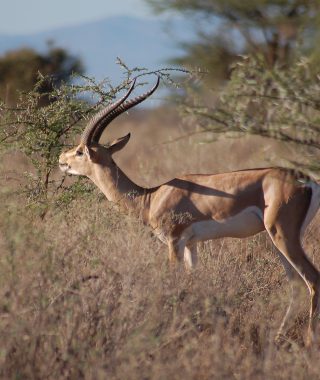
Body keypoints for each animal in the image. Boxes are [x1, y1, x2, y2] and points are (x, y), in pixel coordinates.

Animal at [59, 76, 320, 344]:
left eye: (79, 151)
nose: (61, 159)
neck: (151, 198)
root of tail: (307, 181)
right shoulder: (191, 245)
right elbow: (194, 282)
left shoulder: (174, 242)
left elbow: (174, 282)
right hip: (279, 239)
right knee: (296, 285)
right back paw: (277, 337)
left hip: (282, 236)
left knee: (313, 280)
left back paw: (309, 341)